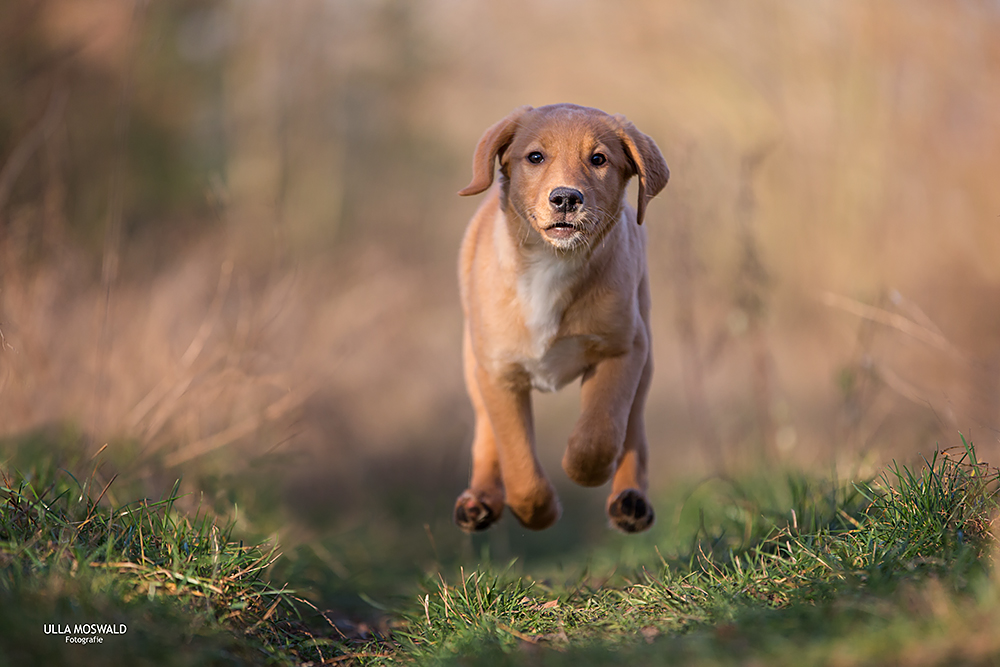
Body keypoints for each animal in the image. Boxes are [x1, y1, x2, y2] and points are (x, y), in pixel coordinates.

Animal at [458, 103, 668, 532]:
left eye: (599, 159)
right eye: (535, 157)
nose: (567, 198)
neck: (551, 264)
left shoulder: (622, 348)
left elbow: (600, 432)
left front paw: (583, 470)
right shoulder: (499, 372)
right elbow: (517, 461)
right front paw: (540, 513)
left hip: (646, 352)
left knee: (633, 428)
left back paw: (630, 501)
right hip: (472, 363)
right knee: (486, 435)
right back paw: (479, 500)